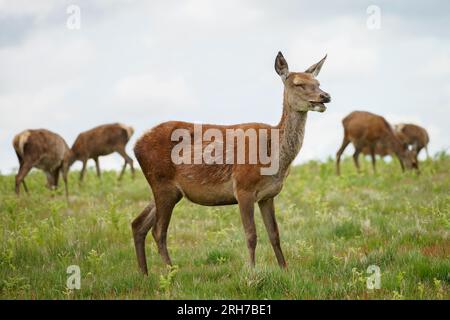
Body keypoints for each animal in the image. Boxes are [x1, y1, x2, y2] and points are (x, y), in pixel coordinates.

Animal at [130, 51, 330, 274]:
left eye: (318, 82)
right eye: (298, 84)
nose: (325, 96)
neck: (274, 159)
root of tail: (135, 146)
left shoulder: (268, 195)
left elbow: (275, 234)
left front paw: (285, 269)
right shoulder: (243, 188)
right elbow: (251, 235)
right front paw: (251, 271)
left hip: (168, 190)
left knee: (138, 224)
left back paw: (144, 274)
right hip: (162, 183)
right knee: (158, 231)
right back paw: (171, 273)